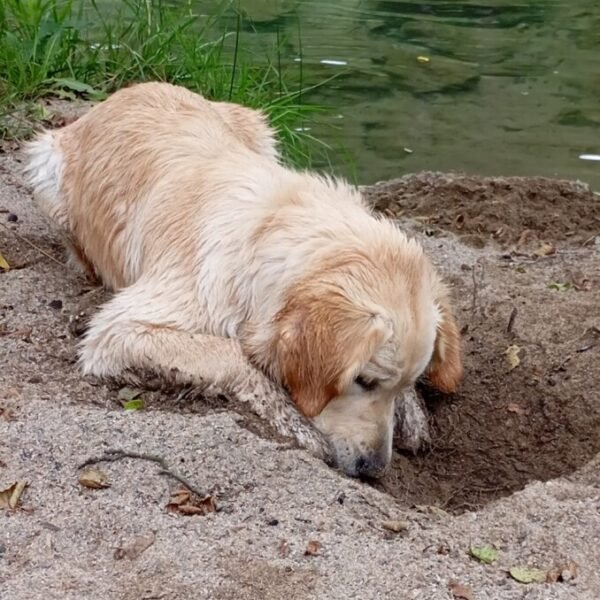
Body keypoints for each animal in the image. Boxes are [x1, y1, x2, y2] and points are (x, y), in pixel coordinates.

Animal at [23, 83, 464, 478]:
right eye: (362, 381)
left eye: (395, 384)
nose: (374, 469)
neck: (271, 232)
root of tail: (129, 88)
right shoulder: (119, 330)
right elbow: (231, 354)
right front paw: (292, 419)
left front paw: (412, 409)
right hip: (44, 166)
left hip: (259, 128)